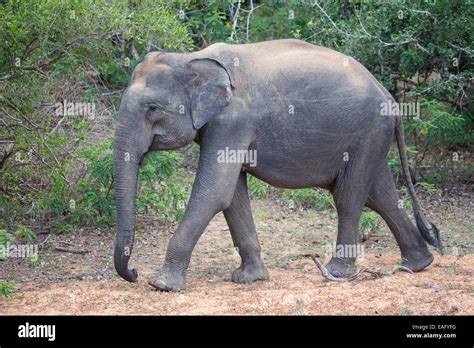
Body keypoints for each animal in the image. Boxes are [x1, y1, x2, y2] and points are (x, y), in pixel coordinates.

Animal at [113, 38, 442, 290]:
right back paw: (418, 263)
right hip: (371, 137)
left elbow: (214, 192)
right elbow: (232, 195)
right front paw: (250, 279)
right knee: (380, 195)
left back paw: (337, 272)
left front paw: (162, 286)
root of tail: (391, 98)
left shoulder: (233, 122)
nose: (134, 273)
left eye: (153, 109)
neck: (190, 58)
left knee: (348, 197)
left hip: (368, 131)